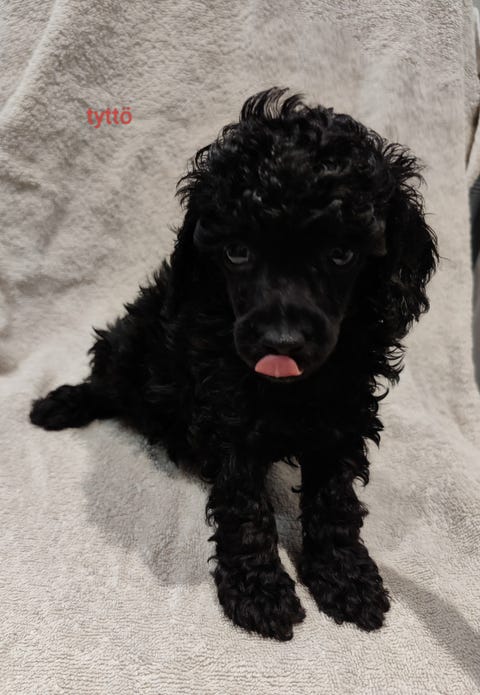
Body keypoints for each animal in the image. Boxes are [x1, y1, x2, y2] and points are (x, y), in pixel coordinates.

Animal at [30, 88, 438, 641]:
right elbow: (245, 508)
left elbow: (335, 501)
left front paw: (346, 577)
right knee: (106, 377)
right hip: (133, 346)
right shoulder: (230, 415)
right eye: (238, 251)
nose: (281, 343)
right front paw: (259, 592)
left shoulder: (344, 413)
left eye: (341, 254)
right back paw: (59, 405)